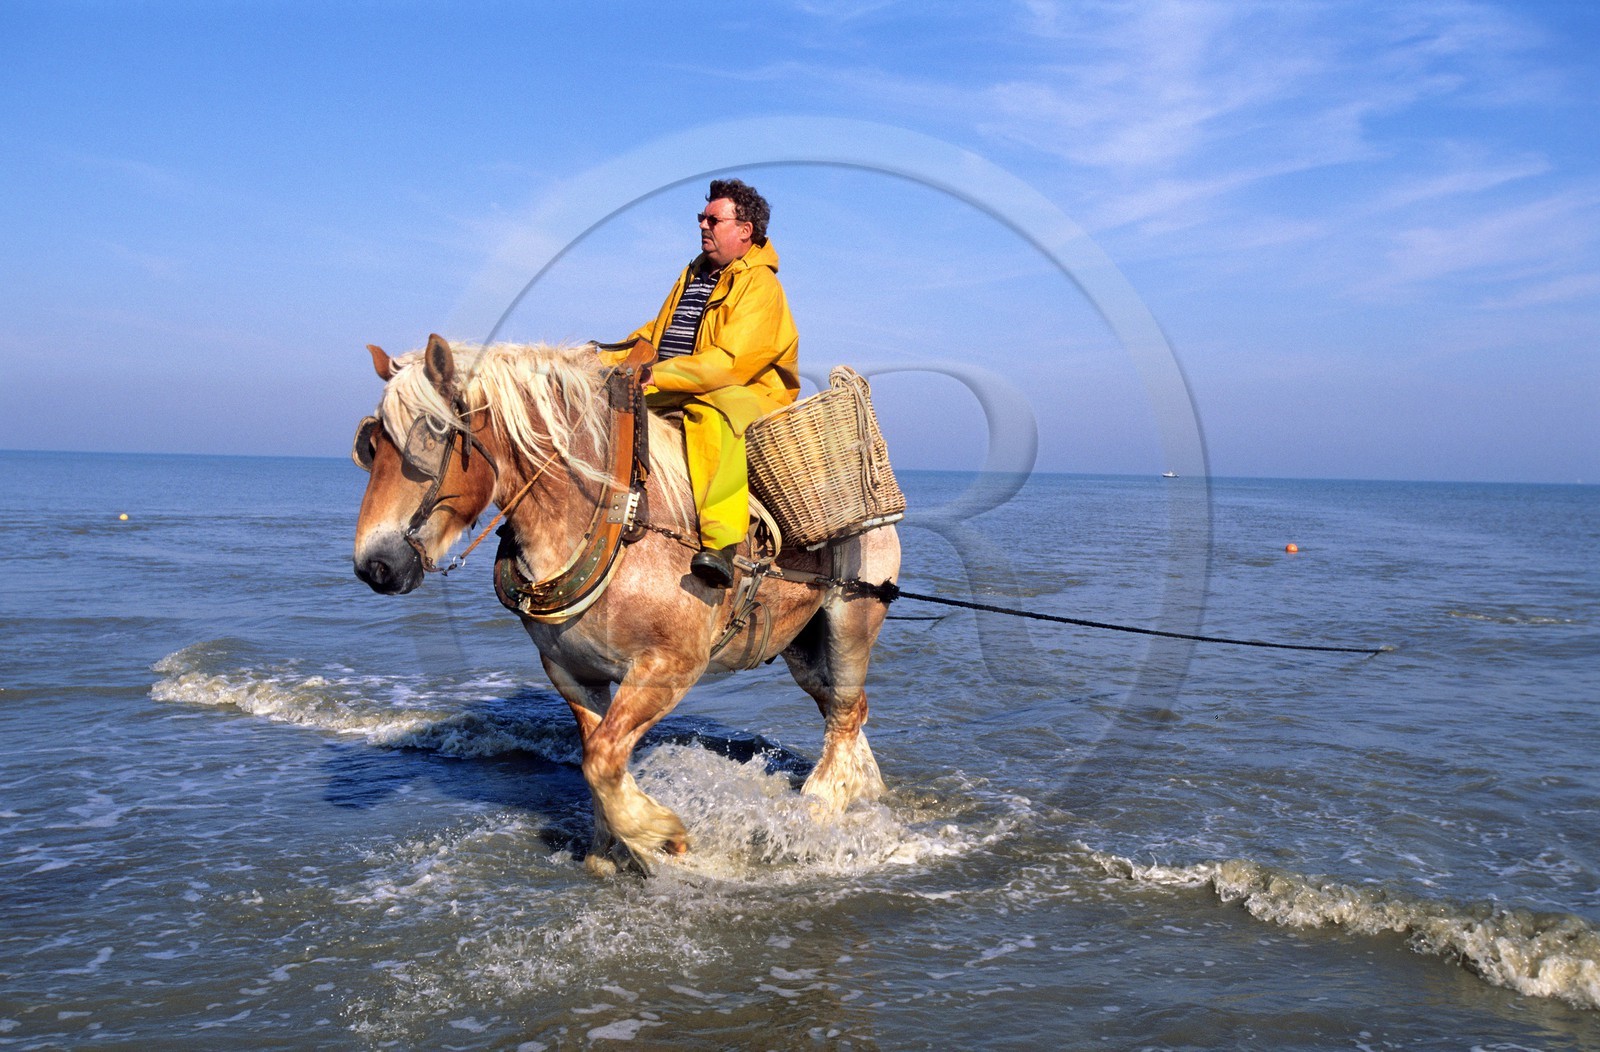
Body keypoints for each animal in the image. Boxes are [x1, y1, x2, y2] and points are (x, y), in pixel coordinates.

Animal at [351, 335, 901, 876]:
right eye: (372, 445)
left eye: (433, 432)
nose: (375, 564)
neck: (615, 520)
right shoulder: (572, 671)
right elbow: (596, 756)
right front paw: (610, 846)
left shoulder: (669, 667)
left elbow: (601, 759)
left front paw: (658, 833)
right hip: (801, 641)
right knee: (842, 707)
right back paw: (863, 787)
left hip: (851, 619)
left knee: (846, 710)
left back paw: (821, 803)